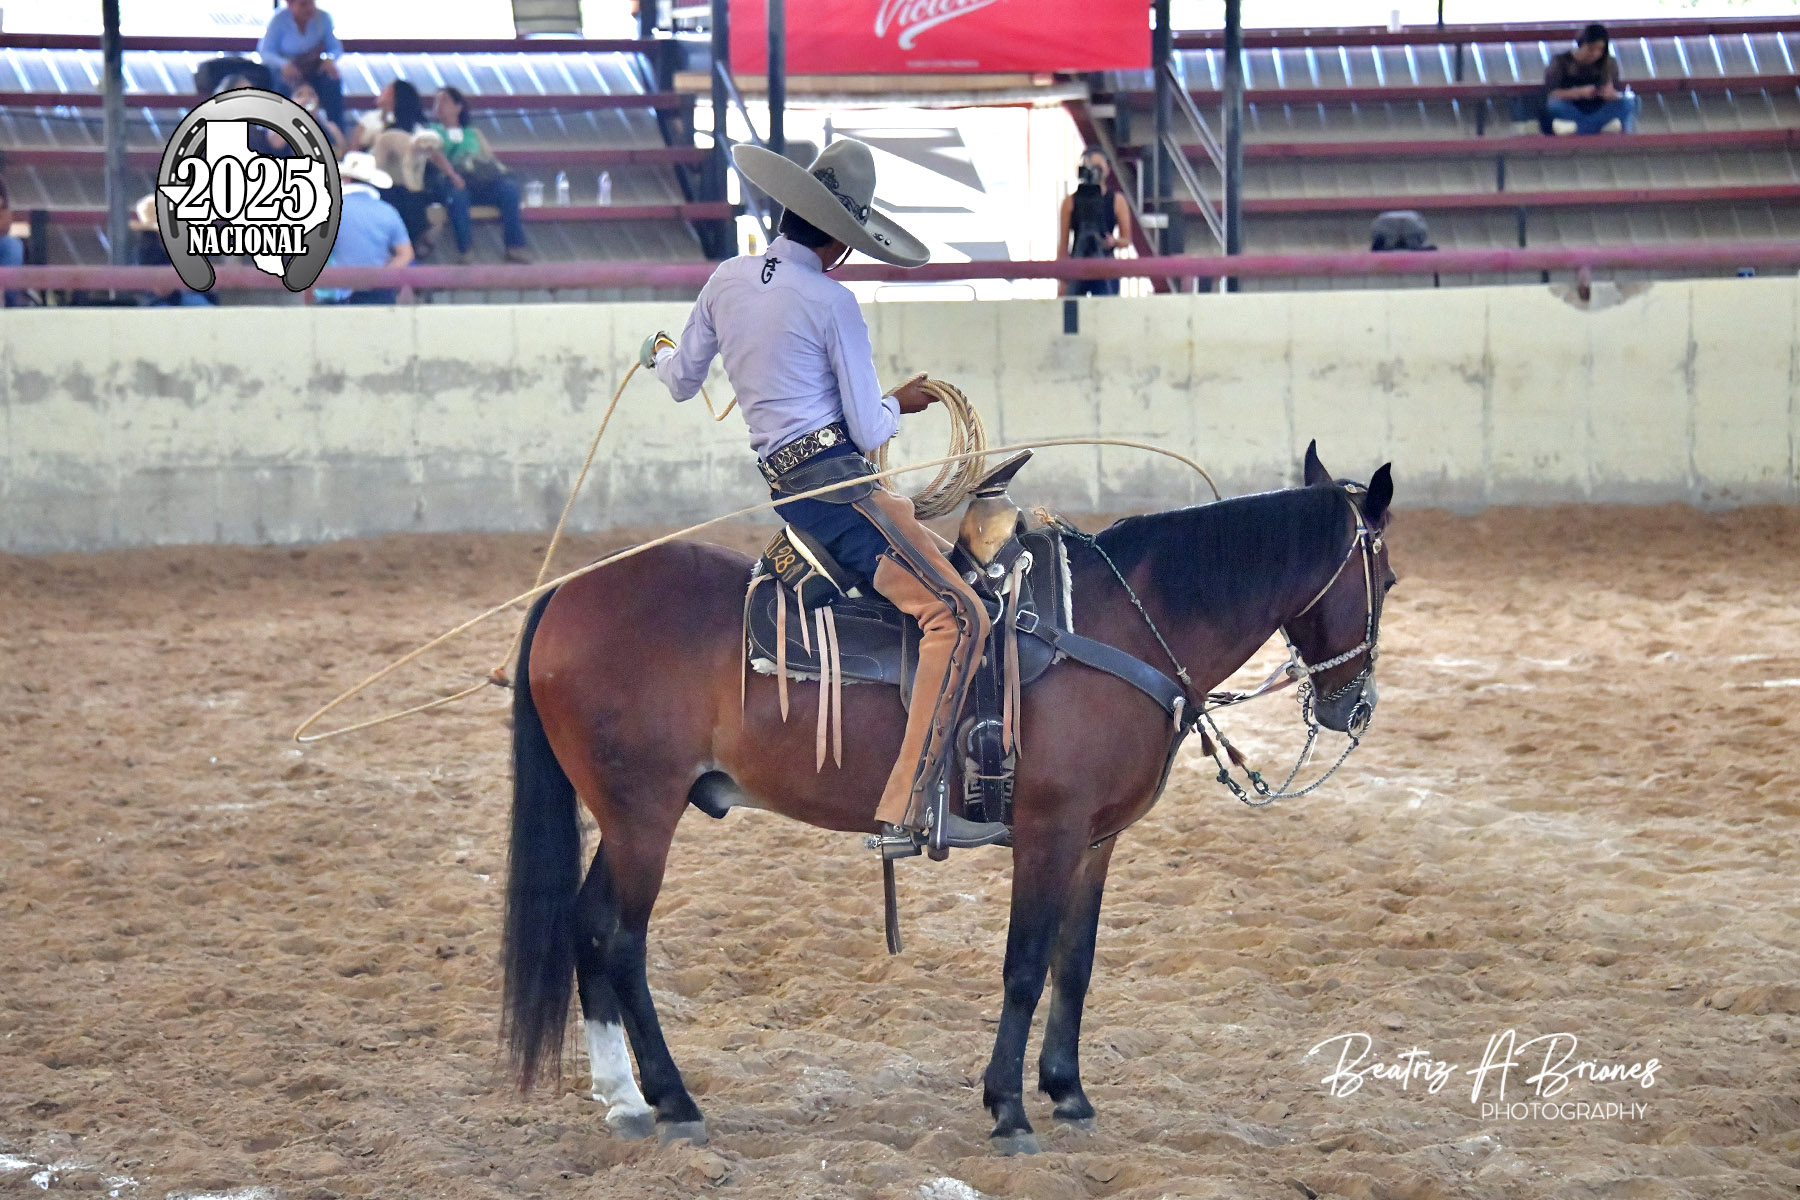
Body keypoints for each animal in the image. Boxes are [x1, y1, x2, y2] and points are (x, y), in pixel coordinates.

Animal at [500, 441, 1395, 1153]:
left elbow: (1075, 964)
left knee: (585, 926)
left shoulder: (1096, 841)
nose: (1355, 708)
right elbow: (1025, 967)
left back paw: (624, 1098)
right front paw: (1009, 1110)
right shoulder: (1050, 832)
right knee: (618, 939)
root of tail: (569, 592)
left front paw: (1068, 1092)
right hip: (641, 815)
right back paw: (673, 1101)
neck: (1117, 627)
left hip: (629, 818)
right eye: (1385, 577)